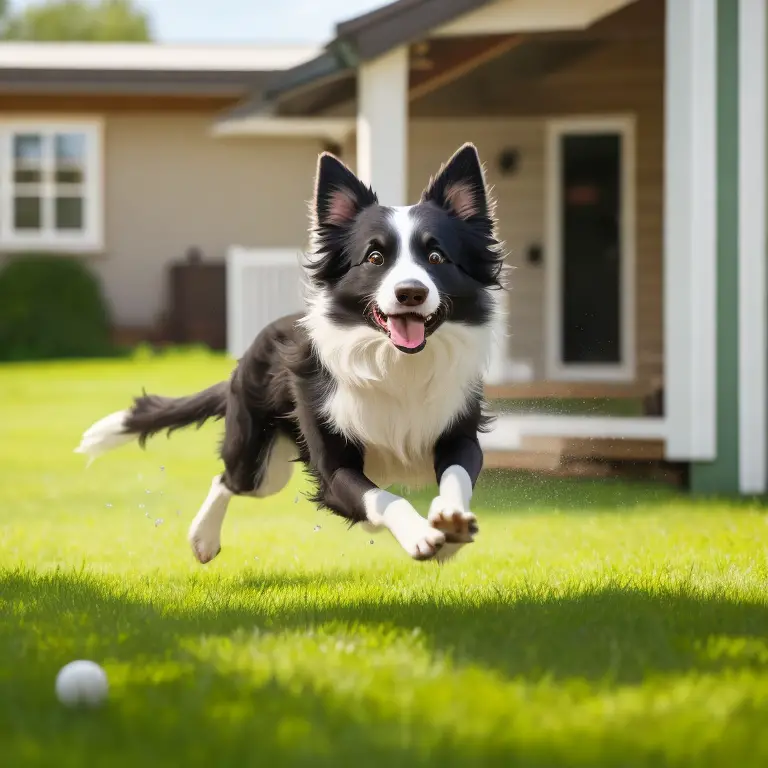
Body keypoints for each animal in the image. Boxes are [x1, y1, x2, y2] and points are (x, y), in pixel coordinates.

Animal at [78, 146, 508, 564]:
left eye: (436, 258)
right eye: (374, 258)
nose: (411, 293)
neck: (395, 363)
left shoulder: (458, 434)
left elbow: (457, 475)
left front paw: (450, 523)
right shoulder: (334, 467)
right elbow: (383, 498)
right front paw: (421, 535)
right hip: (259, 461)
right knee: (229, 479)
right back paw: (203, 538)